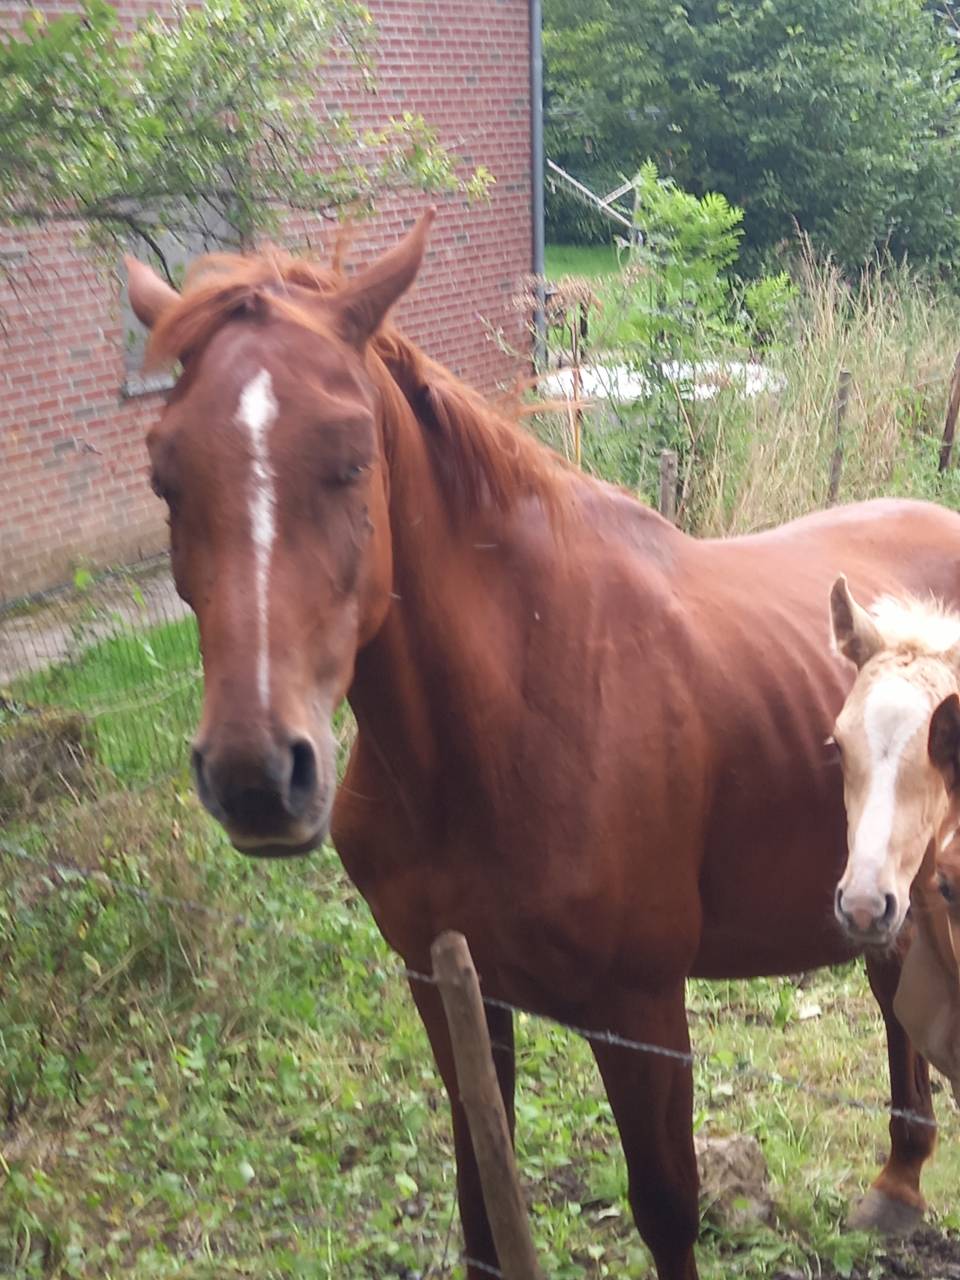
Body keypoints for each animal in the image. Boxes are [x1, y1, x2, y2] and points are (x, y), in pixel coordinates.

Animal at [125, 210, 960, 1279]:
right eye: (165, 472)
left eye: (351, 457)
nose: (257, 776)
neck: (507, 720)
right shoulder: (448, 988)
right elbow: (484, 1200)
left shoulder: (641, 1011)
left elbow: (667, 1207)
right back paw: (898, 1182)